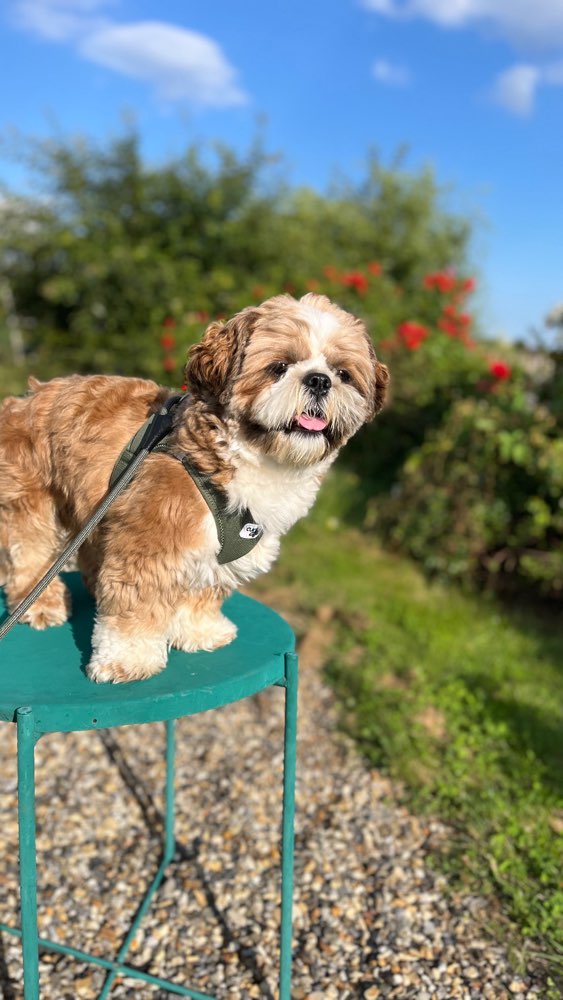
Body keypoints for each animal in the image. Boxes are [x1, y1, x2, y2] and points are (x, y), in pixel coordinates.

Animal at [0, 290, 388, 680]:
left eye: (343, 373)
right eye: (280, 367)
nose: (320, 380)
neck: (242, 455)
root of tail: (24, 400)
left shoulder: (215, 555)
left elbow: (202, 593)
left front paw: (199, 630)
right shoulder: (150, 543)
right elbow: (135, 604)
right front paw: (128, 658)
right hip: (31, 497)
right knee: (30, 552)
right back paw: (41, 603)